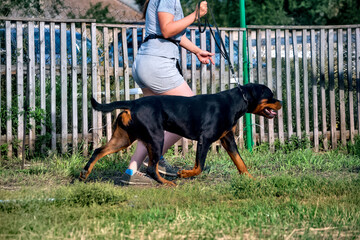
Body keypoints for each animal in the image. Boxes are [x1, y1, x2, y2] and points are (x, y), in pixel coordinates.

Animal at [80, 83, 282, 186]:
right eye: (270, 95)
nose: (281, 102)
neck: (235, 101)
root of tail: (133, 103)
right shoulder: (204, 140)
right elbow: (199, 166)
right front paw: (184, 174)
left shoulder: (228, 140)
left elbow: (240, 162)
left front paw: (251, 179)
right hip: (156, 138)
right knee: (151, 168)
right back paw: (167, 183)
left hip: (123, 138)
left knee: (98, 150)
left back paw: (84, 173)